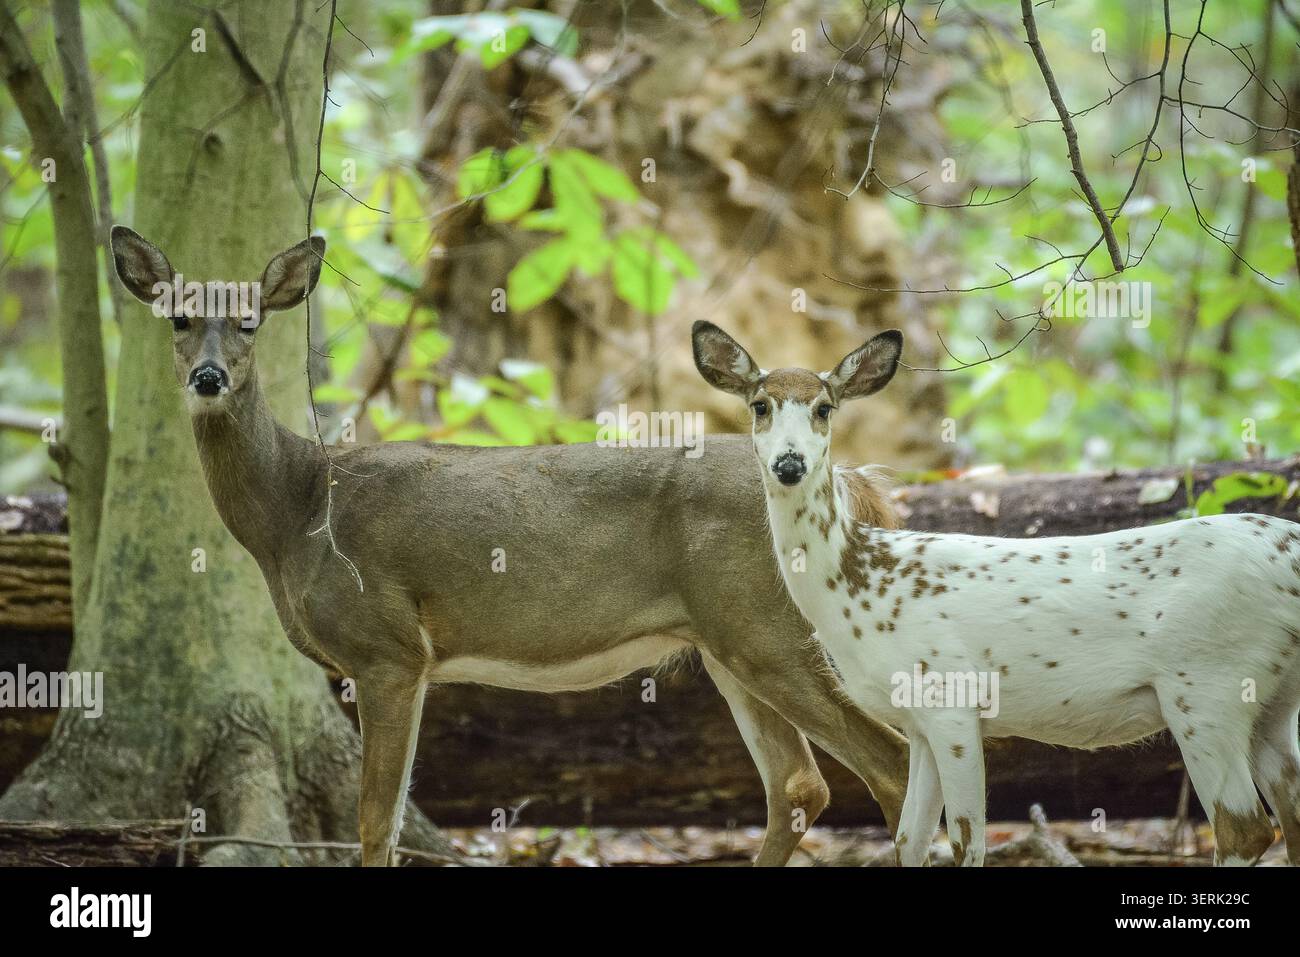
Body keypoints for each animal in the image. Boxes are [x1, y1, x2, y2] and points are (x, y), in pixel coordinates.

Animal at [108, 225, 918, 867]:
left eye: (248, 321)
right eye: (178, 317)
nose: (208, 376)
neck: (297, 510)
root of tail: (849, 481)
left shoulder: (389, 648)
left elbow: (377, 822)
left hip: (770, 627)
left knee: (892, 761)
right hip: (730, 641)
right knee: (799, 785)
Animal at [692, 319, 1300, 867]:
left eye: (823, 408)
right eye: (760, 405)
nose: (789, 463)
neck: (859, 587)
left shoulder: (952, 700)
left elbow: (966, 844)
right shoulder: (917, 721)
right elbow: (909, 841)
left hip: (1206, 685)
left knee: (1245, 829)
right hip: (1270, 700)